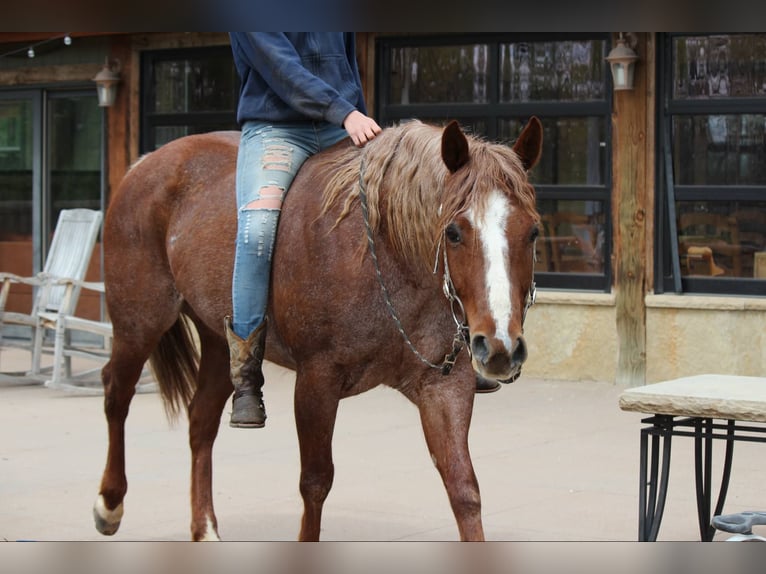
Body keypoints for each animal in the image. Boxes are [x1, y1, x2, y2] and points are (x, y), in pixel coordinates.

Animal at [92, 116, 543, 541]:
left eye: (533, 232)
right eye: (453, 232)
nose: (500, 348)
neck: (385, 257)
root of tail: (143, 164)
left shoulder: (443, 386)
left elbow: (463, 487)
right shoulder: (316, 381)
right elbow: (315, 482)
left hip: (220, 339)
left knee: (201, 420)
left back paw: (204, 528)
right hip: (139, 320)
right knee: (116, 393)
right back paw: (109, 504)